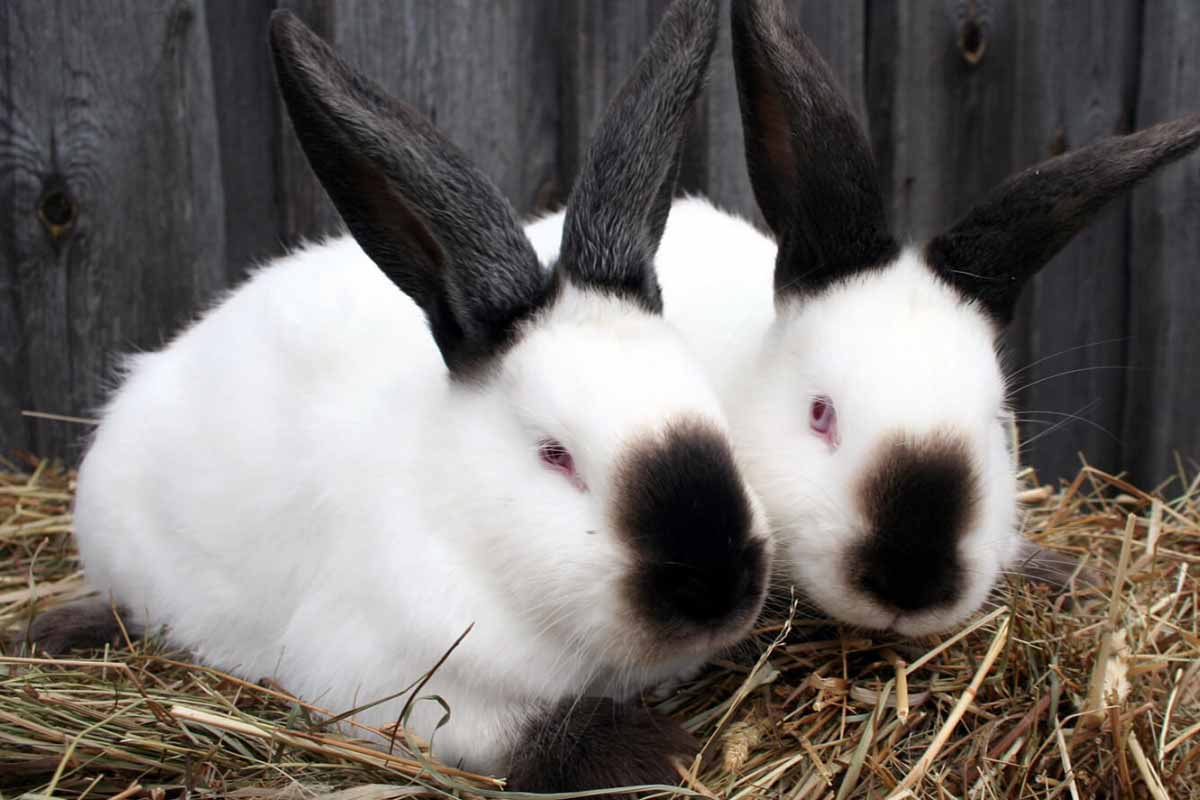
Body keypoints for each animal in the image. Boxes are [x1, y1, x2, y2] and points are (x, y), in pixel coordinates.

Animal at [30, 0, 777, 786]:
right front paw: (656, 750)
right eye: (555, 455)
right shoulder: (396, 682)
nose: (719, 584)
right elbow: (518, 730)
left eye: (714, 413)